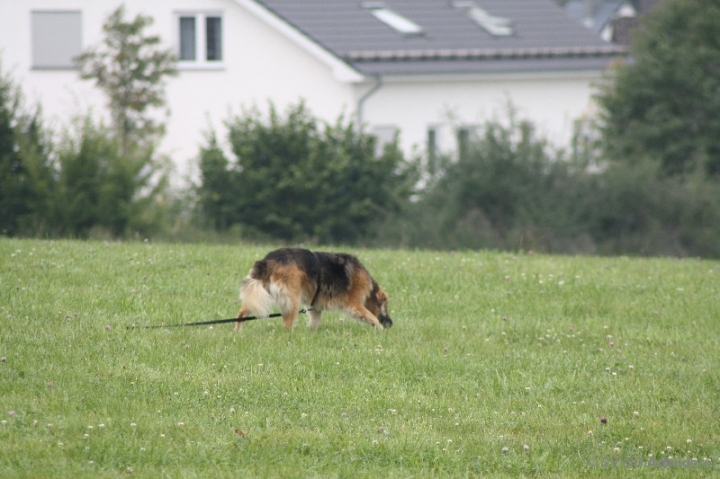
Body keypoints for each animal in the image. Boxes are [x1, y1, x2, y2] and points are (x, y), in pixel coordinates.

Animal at [235, 248, 394, 330]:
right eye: (385, 306)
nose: (391, 324)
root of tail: (267, 261)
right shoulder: (354, 304)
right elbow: (372, 317)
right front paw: (379, 328)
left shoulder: (315, 307)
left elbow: (315, 320)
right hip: (292, 299)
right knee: (287, 322)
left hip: (256, 294)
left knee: (241, 313)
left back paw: (238, 331)